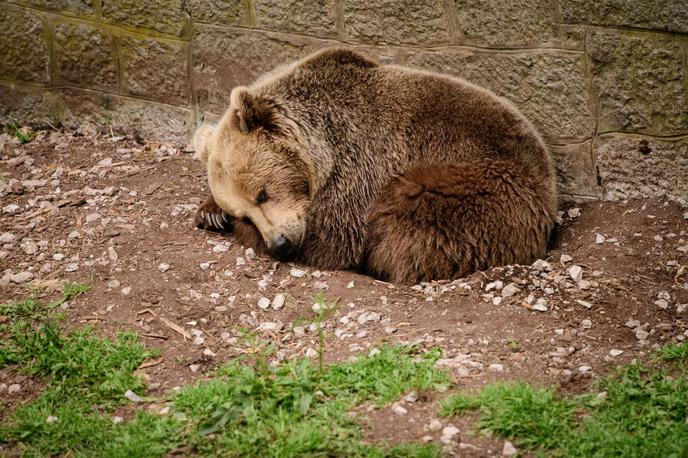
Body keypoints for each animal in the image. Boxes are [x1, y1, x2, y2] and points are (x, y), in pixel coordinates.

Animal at [191, 47, 556, 282]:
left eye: (262, 194)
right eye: (244, 212)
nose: (280, 244)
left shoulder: (359, 162)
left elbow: (334, 239)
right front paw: (211, 212)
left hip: (485, 187)